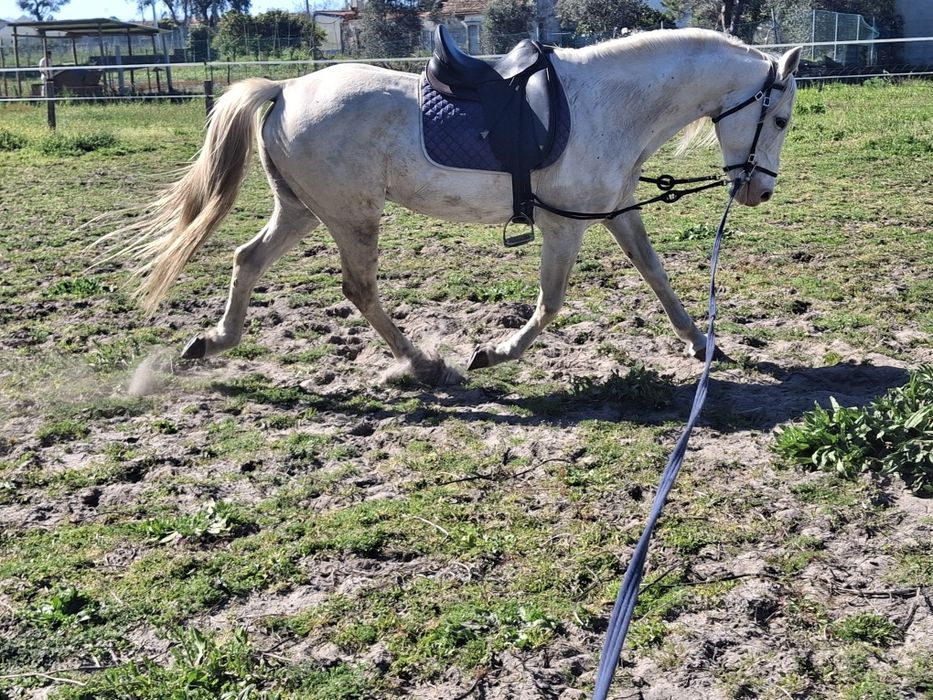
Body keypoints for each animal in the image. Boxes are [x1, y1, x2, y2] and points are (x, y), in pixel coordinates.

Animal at [112, 28, 801, 385]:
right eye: (782, 118)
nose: (758, 191)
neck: (608, 105)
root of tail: (285, 89)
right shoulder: (564, 226)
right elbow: (551, 303)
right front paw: (493, 352)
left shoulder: (616, 210)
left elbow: (657, 276)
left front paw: (702, 344)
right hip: (351, 217)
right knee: (359, 289)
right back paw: (423, 363)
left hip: (303, 210)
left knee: (247, 260)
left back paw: (214, 341)